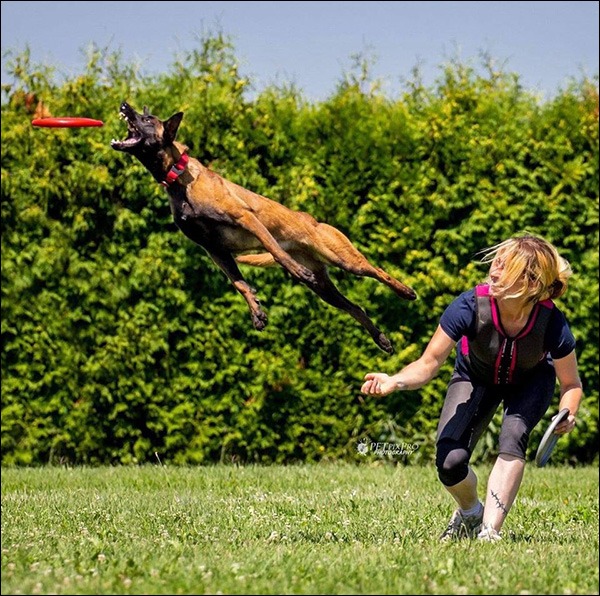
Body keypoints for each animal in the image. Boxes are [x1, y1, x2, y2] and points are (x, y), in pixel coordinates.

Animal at [110, 103, 414, 354]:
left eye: (147, 118)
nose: (124, 104)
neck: (179, 177)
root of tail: (313, 221)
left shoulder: (247, 219)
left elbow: (275, 249)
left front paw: (294, 270)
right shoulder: (214, 250)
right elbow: (240, 283)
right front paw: (257, 312)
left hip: (342, 257)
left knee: (376, 271)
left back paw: (405, 292)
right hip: (324, 289)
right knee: (355, 308)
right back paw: (382, 340)